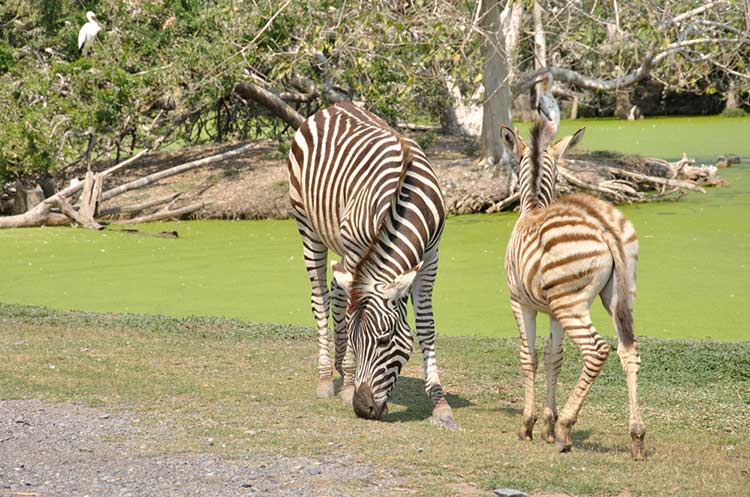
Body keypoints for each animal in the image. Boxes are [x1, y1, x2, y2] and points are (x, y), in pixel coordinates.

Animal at [288, 102, 458, 428]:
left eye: (384, 340)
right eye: (360, 340)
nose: (362, 408)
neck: (404, 197)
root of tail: (332, 107)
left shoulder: (431, 257)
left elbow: (426, 326)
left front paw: (440, 403)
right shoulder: (358, 251)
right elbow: (348, 312)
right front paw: (349, 382)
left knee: (337, 288)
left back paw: (339, 367)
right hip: (308, 227)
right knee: (321, 300)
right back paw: (328, 377)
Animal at [500, 120, 648, 458]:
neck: (533, 206)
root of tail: (601, 225)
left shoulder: (520, 302)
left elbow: (529, 356)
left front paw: (529, 425)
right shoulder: (553, 310)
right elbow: (554, 356)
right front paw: (547, 425)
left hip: (572, 305)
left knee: (597, 350)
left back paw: (567, 429)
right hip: (619, 297)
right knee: (629, 351)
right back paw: (636, 436)